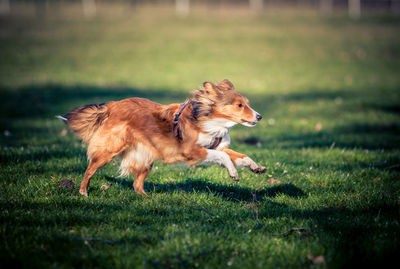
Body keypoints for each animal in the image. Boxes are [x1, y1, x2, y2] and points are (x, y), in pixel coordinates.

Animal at [58, 78, 266, 196]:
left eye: (246, 103)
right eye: (240, 105)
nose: (259, 116)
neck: (211, 121)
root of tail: (112, 105)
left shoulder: (218, 147)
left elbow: (239, 156)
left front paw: (255, 167)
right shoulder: (191, 151)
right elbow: (224, 158)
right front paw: (233, 172)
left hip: (146, 157)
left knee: (136, 183)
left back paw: (147, 198)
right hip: (109, 150)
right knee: (90, 170)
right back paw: (83, 192)